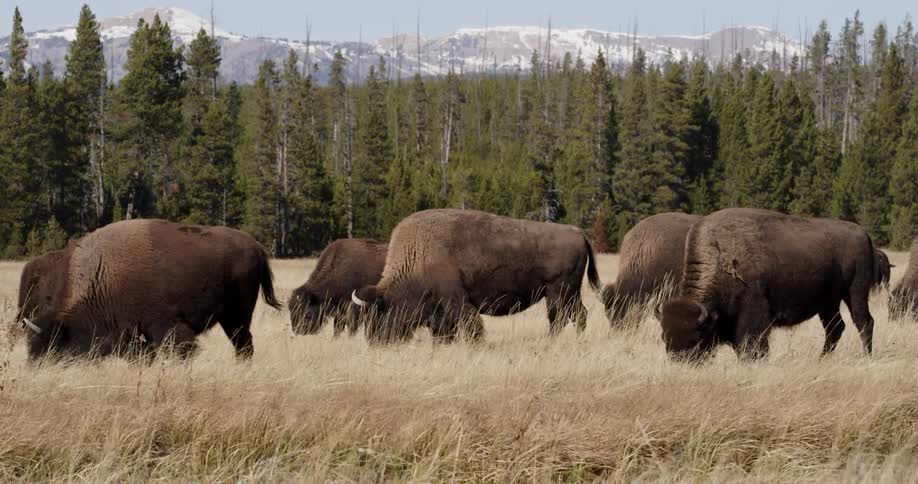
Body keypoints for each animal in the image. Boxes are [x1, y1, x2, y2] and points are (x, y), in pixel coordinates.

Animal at [17, 219, 282, 360]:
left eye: (52, 346)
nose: (35, 367)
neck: (104, 278)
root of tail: (256, 246)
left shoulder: (167, 327)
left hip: (237, 316)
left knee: (244, 344)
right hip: (231, 318)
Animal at [351, 209, 602, 343]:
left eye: (379, 313)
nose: (374, 342)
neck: (420, 253)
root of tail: (577, 232)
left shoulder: (456, 301)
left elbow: (472, 327)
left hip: (558, 291)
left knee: (559, 318)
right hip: (570, 292)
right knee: (578, 314)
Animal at [657, 208, 876, 361]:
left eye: (695, 338)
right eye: (664, 338)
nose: (680, 361)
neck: (719, 254)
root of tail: (864, 234)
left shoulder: (754, 316)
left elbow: (752, 347)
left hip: (855, 291)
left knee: (864, 322)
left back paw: (866, 357)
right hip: (828, 302)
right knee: (835, 327)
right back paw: (822, 359)